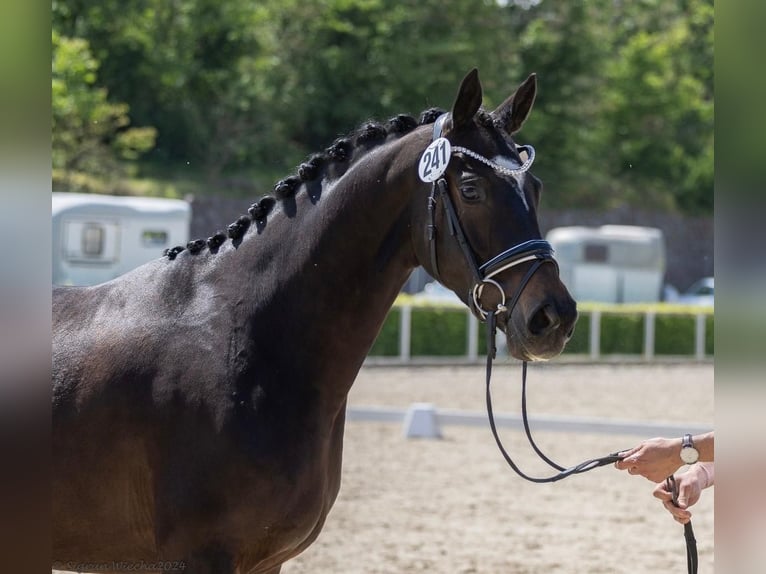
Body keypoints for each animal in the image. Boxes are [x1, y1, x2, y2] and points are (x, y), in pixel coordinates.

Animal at [52, 70, 576, 572]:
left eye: (535, 189)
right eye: (470, 190)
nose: (553, 317)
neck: (245, 341)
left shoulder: (267, 561)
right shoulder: (198, 558)